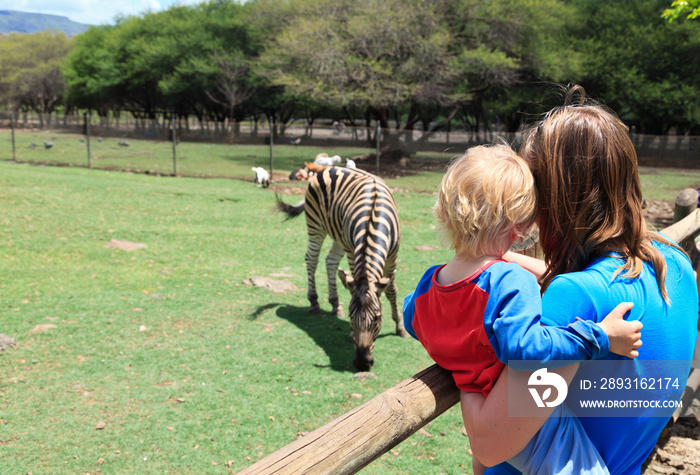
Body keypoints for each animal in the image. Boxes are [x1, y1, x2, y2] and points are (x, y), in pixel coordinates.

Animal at [276, 167, 410, 372]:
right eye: (351, 317)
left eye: (377, 318)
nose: (362, 363)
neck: (373, 221)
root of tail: (329, 168)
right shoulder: (352, 252)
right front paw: (351, 335)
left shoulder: (393, 255)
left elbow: (391, 291)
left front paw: (400, 328)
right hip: (316, 226)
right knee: (311, 259)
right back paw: (314, 302)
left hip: (339, 236)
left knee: (330, 261)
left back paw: (334, 304)